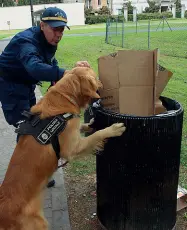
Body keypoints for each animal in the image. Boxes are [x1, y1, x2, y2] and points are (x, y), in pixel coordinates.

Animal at [0, 66, 126, 230]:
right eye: (95, 77)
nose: (102, 82)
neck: (65, 98)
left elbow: (85, 127)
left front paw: (90, 123)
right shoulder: (72, 149)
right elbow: (96, 135)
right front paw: (113, 129)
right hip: (39, 223)